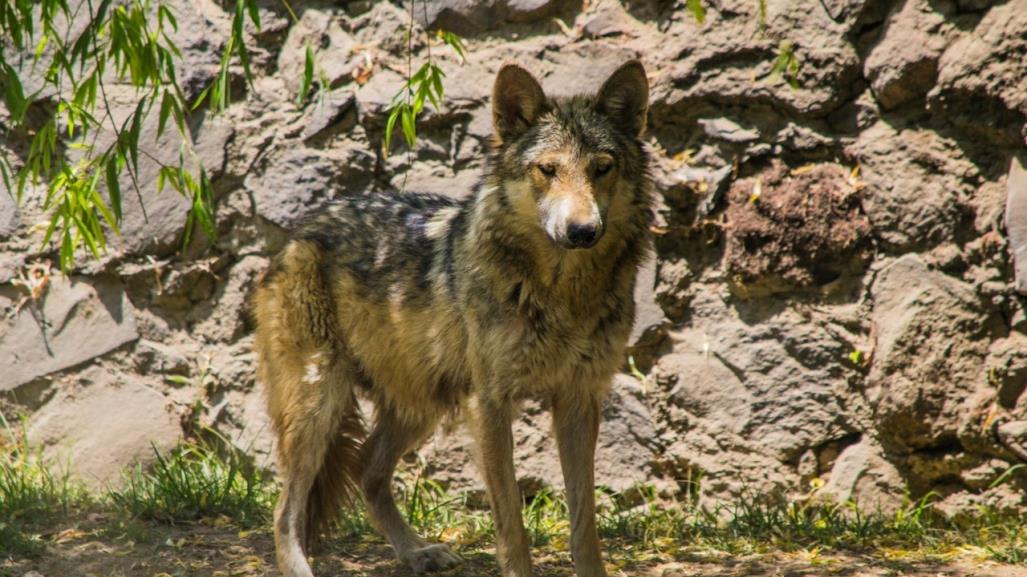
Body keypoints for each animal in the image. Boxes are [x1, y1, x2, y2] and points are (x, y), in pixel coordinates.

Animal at [252, 59, 649, 574]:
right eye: (548, 169)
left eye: (602, 168)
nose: (582, 231)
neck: (563, 293)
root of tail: (299, 233)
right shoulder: (491, 403)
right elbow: (512, 523)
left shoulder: (579, 401)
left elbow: (585, 524)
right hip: (319, 402)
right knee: (285, 508)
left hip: (422, 401)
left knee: (367, 470)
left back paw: (417, 551)